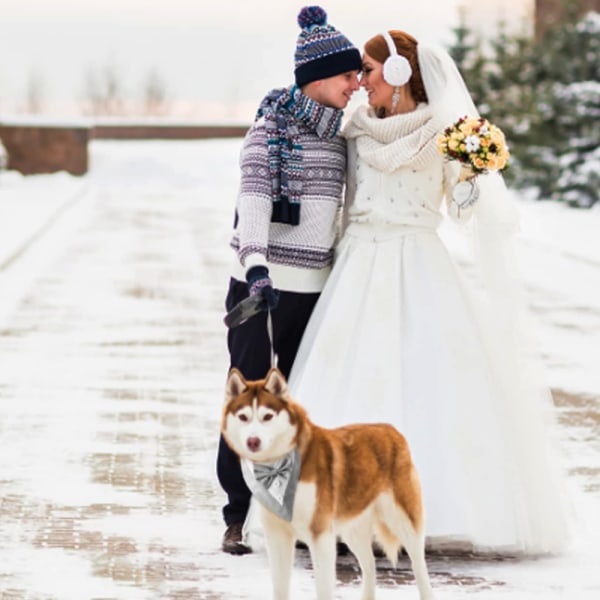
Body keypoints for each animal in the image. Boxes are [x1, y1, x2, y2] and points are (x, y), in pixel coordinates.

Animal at [223, 366, 434, 600]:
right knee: (369, 565)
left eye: (267, 416)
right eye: (243, 417)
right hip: (352, 525)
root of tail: (391, 429)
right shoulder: (277, 535)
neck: (277, 467)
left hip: (403, 520)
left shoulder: (320, 534)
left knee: (419, 567)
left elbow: (323, 588)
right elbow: (279, 588)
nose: (253, 441)